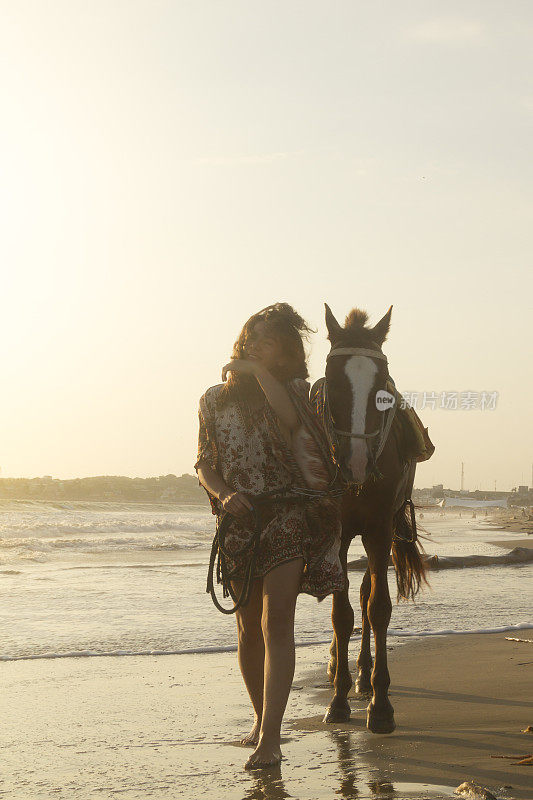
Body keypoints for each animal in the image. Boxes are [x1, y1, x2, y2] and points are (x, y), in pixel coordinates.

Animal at [310, 304, 430, 736]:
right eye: (331, 379)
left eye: (383, 385)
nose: (357, 462)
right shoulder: (338, 532)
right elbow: (340, 614)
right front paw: (338, 700)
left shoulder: (379, 530)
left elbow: (377, 607)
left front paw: (380, 704)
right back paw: (339, 669)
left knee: (365, 593)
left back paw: (363, 674)